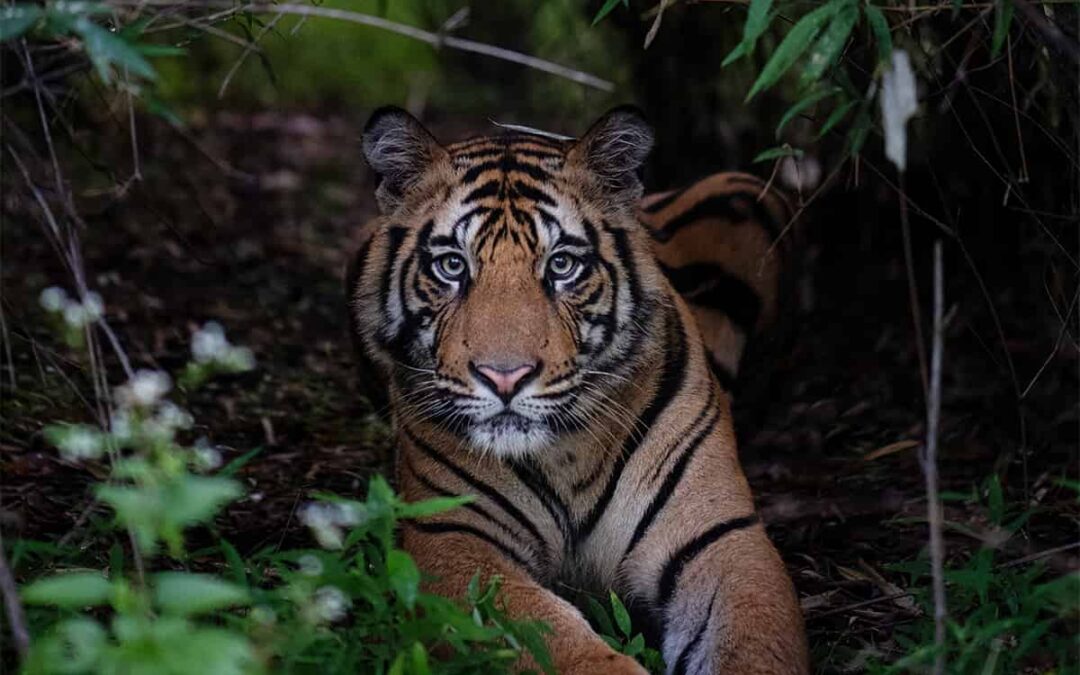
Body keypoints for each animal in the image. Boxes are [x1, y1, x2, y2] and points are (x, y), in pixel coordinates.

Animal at [346, 106, 807, 675]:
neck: (567, 454)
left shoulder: (721, 536)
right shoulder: (454, 540)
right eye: (452, 265)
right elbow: (553, 643)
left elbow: (754, 646)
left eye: (562, 265)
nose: (505, 376)